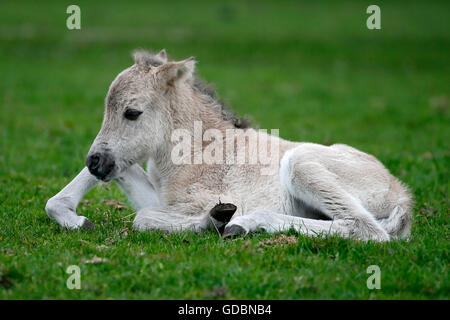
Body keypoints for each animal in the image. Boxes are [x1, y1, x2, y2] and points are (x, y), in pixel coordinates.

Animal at [44, 49, 412, 240]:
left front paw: (213, 219)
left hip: (302, 164)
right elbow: (130, 189)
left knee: (366, 228)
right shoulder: (160, 196)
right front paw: (76, 219)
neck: (196, 153)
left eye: (132, 112)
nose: (96, 161)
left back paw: (240, 223)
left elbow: (143, 219)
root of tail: (401, 195)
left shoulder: (192, 201)